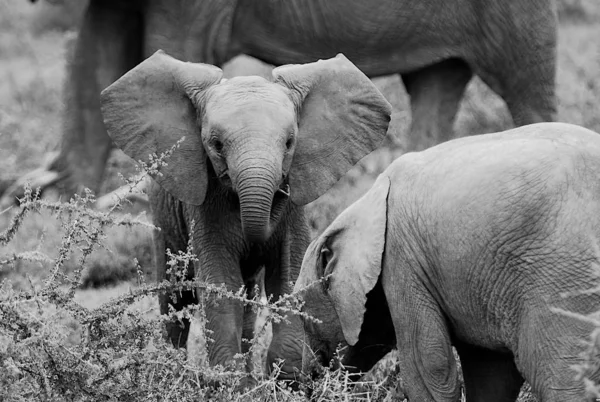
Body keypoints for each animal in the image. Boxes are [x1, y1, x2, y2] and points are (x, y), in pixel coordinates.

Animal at [99, 51, 394, 382]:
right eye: (216, 144)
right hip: (163, 215)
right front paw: (234, 384)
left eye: (290, 143)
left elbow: (288, 276)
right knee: (176, 295)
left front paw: (284, 380)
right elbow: (222, 285)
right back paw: (174, 372)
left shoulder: (293, 209)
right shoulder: (205, 205)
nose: (280, 191)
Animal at [298, 122, 600, 402]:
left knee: (556, 378)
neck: (363, 204)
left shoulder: (402, 258)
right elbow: (491, 374)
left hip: (564, 277)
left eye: (302, 315)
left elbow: (428, 367)